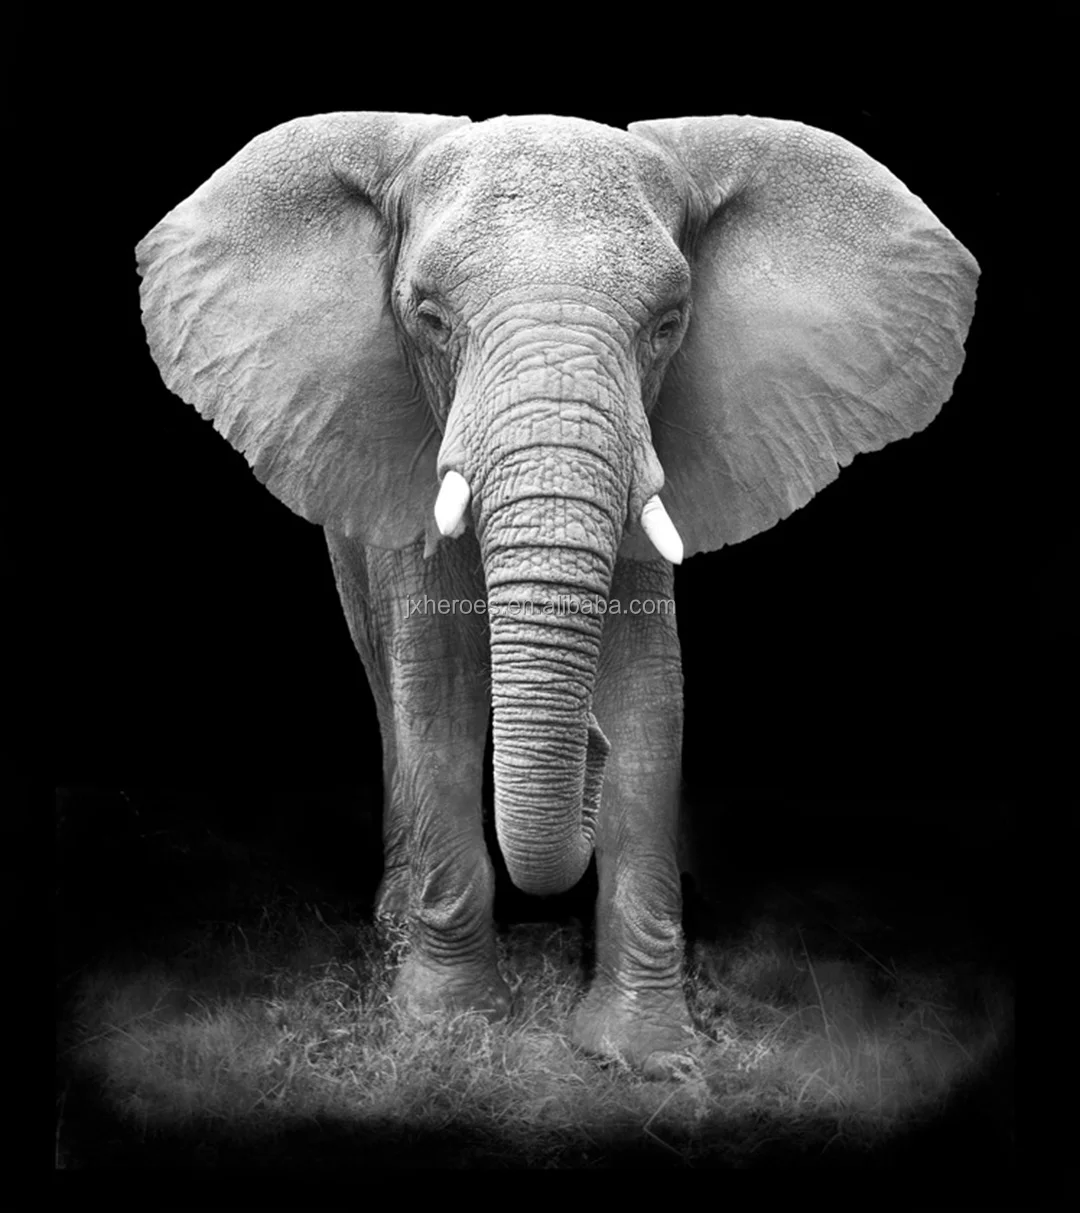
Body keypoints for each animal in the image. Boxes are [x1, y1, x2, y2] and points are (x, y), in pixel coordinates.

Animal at [136, 112, 978, 1077]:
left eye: (668, 324)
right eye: (428, 318)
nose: (588, 746)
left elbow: (651, 694)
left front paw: (646, 1053)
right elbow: (440, 688)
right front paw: (447, 1029)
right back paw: (393, 924)